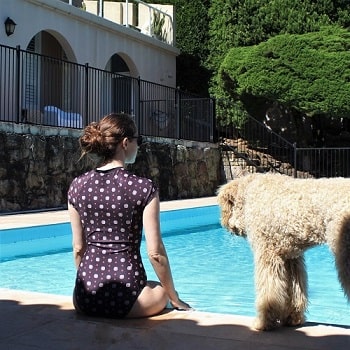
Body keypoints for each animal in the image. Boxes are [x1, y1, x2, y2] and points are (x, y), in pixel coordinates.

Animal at [217, 174, 350, 332]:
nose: (224, 224)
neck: (249, 192)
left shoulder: (268, 254)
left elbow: (268, 292)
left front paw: (264, 322)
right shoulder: (291, 258)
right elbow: (295, 291)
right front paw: (293, 318)